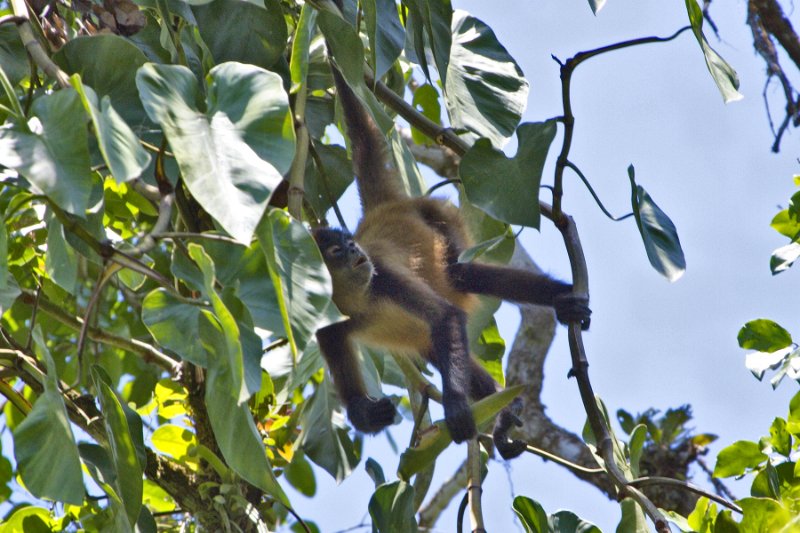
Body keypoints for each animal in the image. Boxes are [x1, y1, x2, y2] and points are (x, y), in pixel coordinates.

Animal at [316, 15, 592, 458]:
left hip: (439, 217)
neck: (357, 303)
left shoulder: (383, 276)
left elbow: (447, 316)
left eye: (346, 244)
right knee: (436, 342)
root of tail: (382, 211)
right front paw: (369, 415)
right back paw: (506, 412)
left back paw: (562, 299)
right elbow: (359, 402)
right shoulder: (324, 323)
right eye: (336, 250)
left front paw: (458, 407)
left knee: (462, 277)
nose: (355, 247)